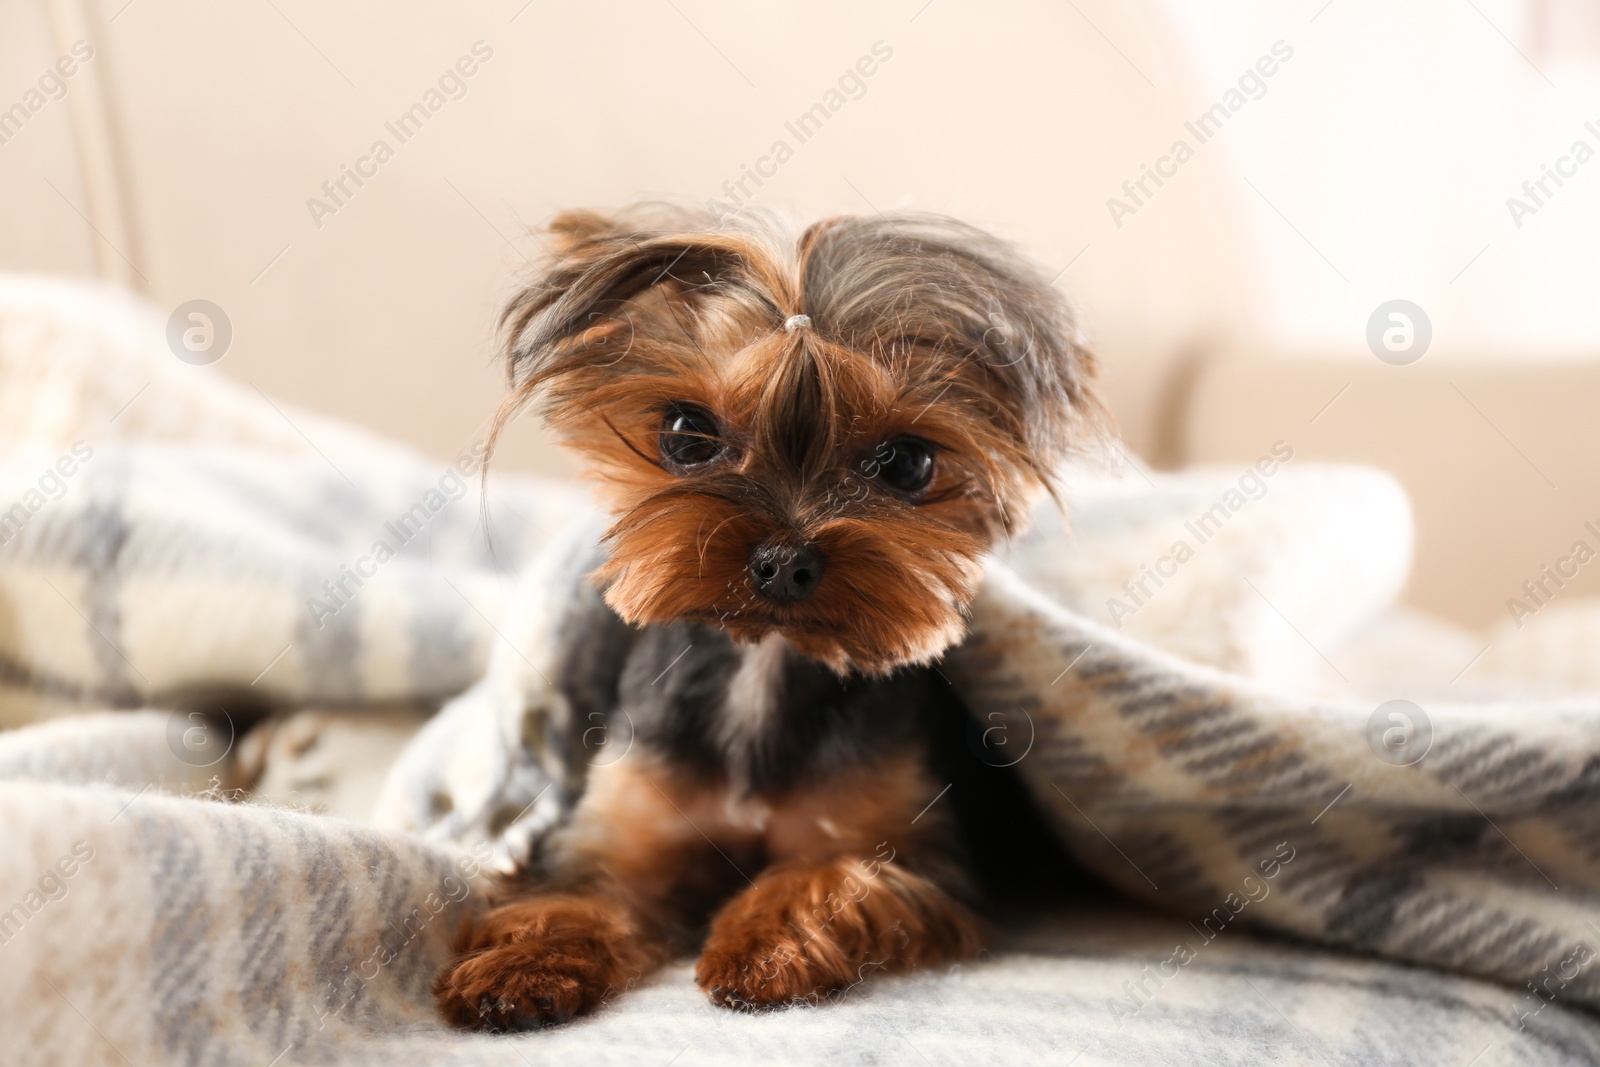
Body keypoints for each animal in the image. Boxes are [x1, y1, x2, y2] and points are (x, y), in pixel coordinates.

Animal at [432, 204, 1107, 1030]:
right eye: (687, 434)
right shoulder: (618, 838)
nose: (785, 559)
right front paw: (515, 966)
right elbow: (572, 895)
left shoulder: (915, 858)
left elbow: (825, 875)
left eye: (906, 463)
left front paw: (764, 950)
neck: (764, 660)